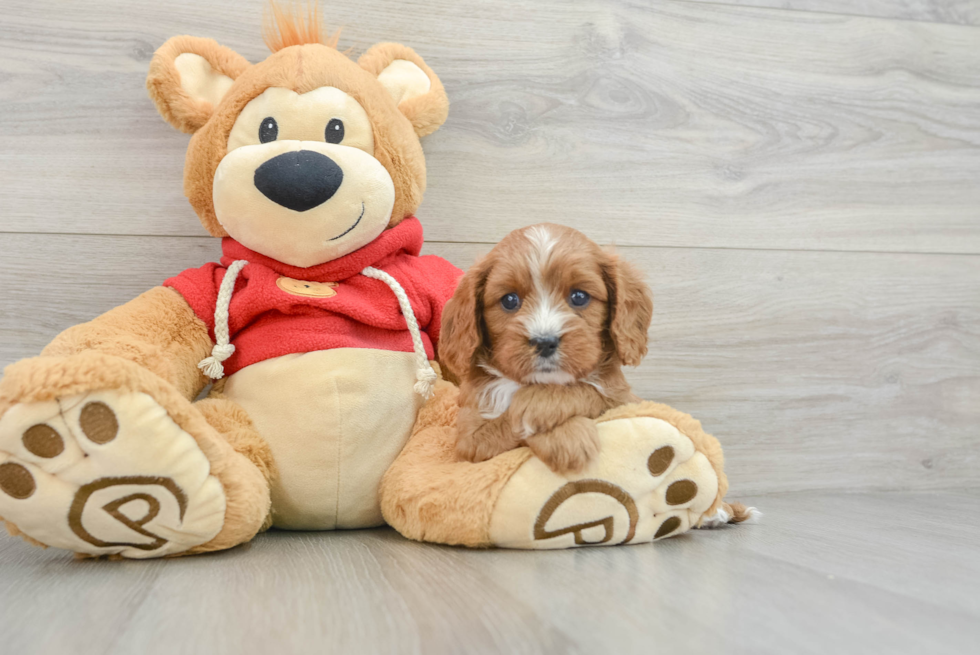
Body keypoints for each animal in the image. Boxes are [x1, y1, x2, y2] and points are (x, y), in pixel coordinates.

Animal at [440, 223, 656, 474]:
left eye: (579, 296)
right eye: (509, 300)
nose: (544, 342)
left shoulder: (626, 400)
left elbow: (591, 391)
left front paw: (537, 407)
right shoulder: (469, 443)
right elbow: (504, 424)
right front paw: (569, 437)